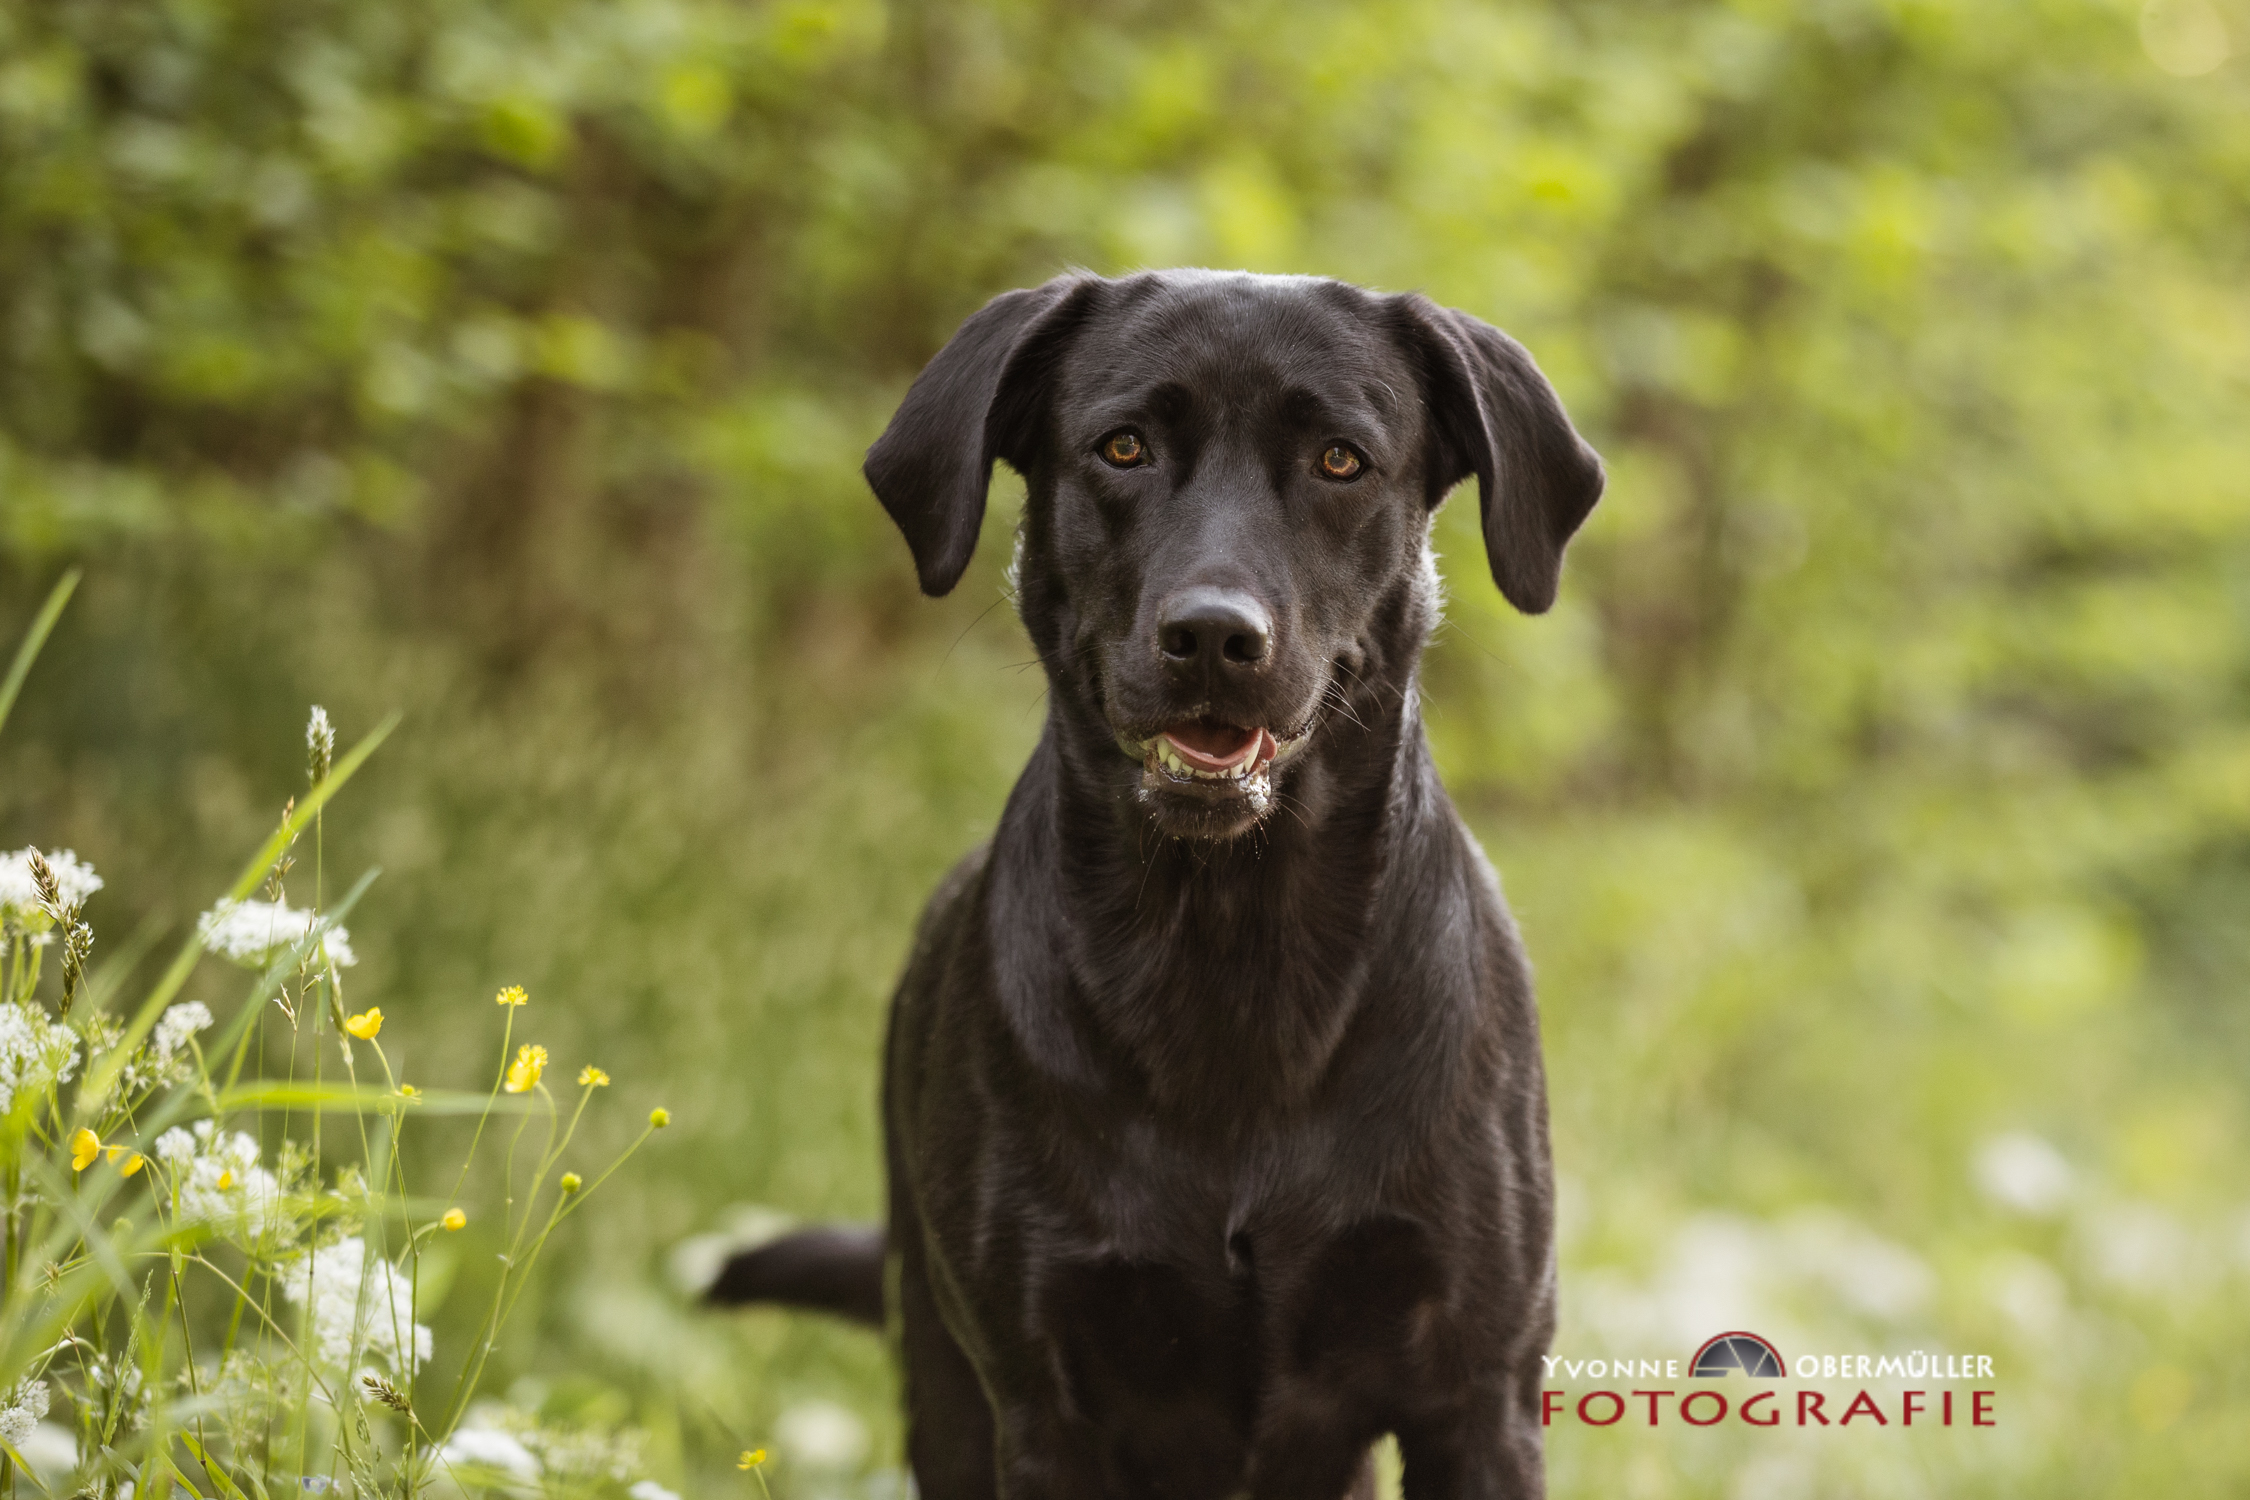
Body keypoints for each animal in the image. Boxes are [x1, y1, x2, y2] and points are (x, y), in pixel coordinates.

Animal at [711, 273, 1611, 1500]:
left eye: (1340, 460)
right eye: (1123, 447)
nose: (1214, 635)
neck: (1230, 948)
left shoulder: (1477, 1397)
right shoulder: (1048, 1401)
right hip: (944, 1385)